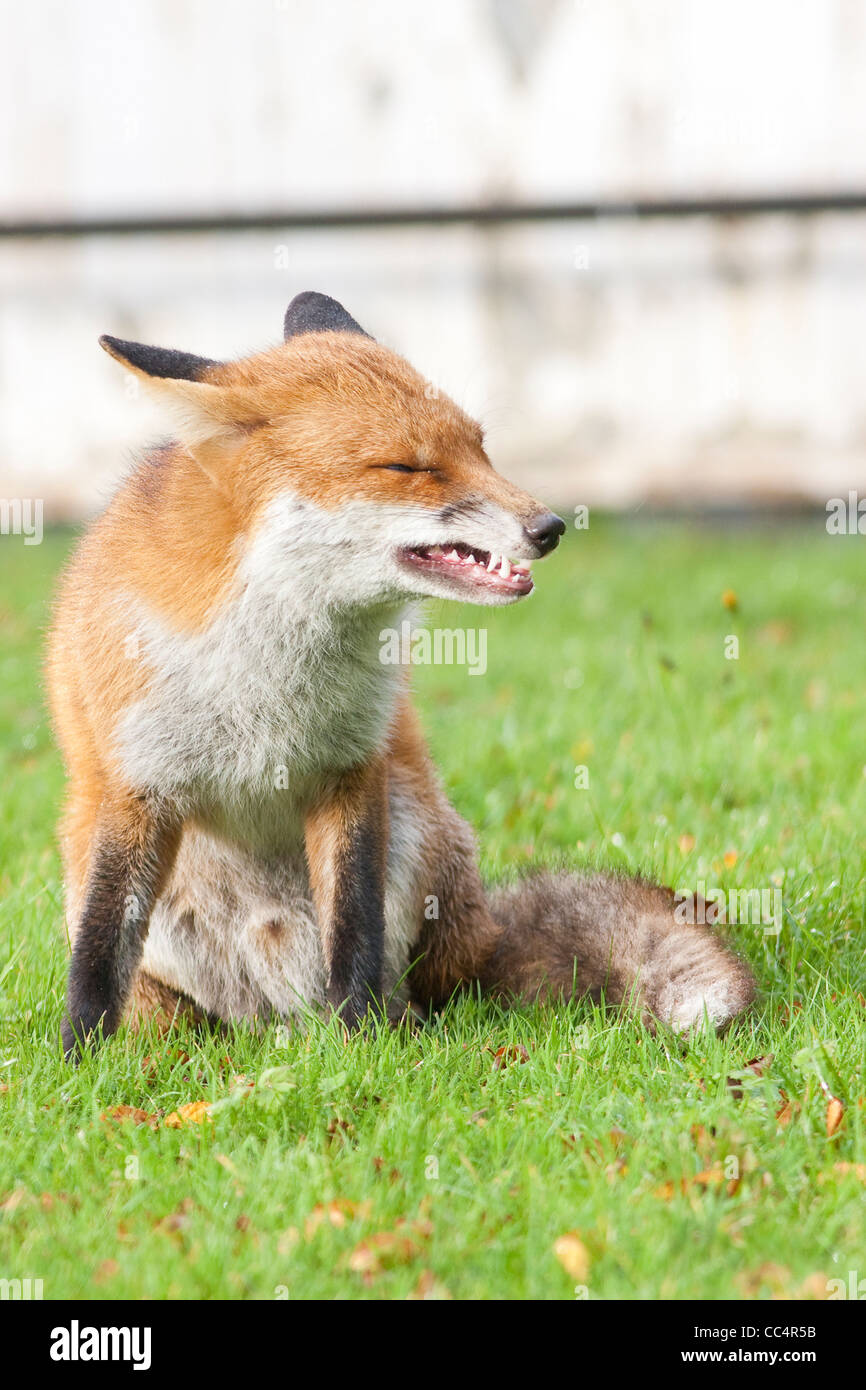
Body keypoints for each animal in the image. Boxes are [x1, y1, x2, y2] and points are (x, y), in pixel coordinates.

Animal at [47, 291, 755, 1057]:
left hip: (417, 826)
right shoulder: (136, 787)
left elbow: (353, 929)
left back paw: (386, 1025)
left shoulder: (352, 770)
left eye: (480, 447)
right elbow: (98, 955)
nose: (551, 528)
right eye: (406, 468)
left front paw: (360, 1048)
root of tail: (275, 1020)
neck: (264, 669)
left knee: (420, 987)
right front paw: (80, 1061)